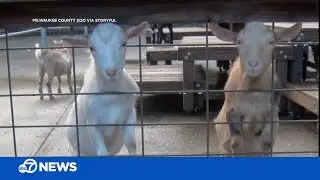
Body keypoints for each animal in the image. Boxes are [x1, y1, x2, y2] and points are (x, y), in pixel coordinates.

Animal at [63, 21, 151, 156]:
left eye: (124, 43)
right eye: (91, 48)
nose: (111, 72)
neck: (111, 95)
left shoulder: (130, 114)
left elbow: (131, 142)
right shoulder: (92, 125)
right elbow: (102, 152)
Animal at [209, 21, 302, 156]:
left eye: (271, 41)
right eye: (239, 41)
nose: (253, 64)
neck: (253, 94)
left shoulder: (273, 112)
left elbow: (267, 142)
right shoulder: (232, 112)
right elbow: (236, 144)